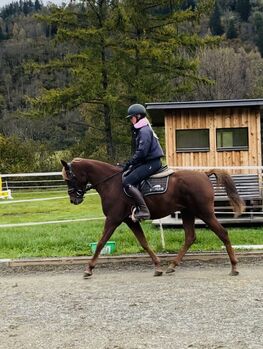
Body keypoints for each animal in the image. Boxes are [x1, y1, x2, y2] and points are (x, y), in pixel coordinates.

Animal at [61, 158, 245, 278]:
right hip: (188, 213)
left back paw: (234, 267)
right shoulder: (129, 220)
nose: (73, 199)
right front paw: (157, 267)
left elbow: (101, 242)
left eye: (70, 178)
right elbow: (143, 242)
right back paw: (172, 266)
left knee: (223, 233)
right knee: (190, 237)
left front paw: (89, 268)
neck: (111, 184)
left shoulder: (113, 219)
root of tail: (204, 175)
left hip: (204, 212)